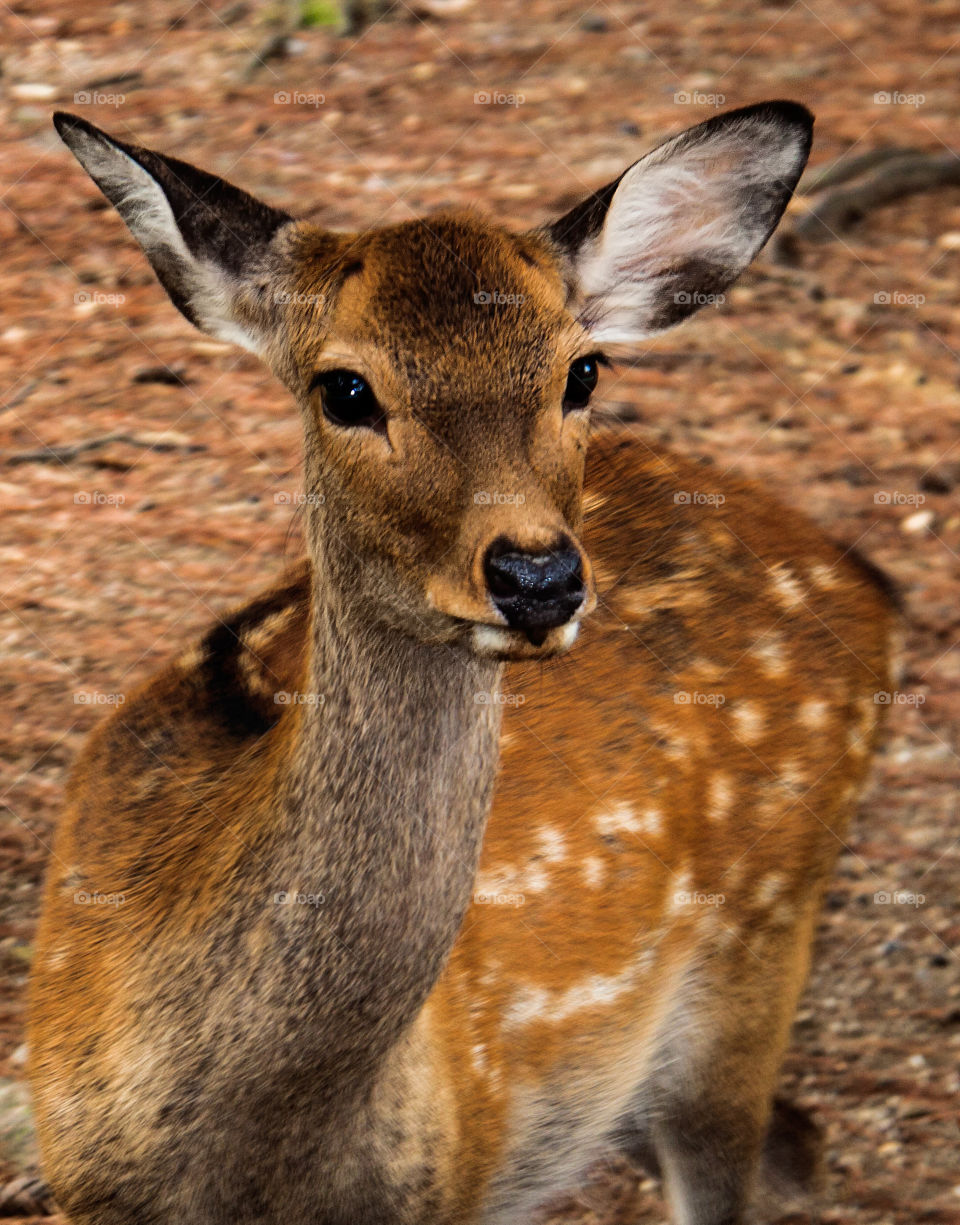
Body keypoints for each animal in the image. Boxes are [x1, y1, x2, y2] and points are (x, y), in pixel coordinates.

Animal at [28, 102, 895, 1225]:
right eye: (345, 387)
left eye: (582, 371)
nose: (537, 576)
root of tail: (862, 576)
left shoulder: (458, 1178)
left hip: (760, 946)